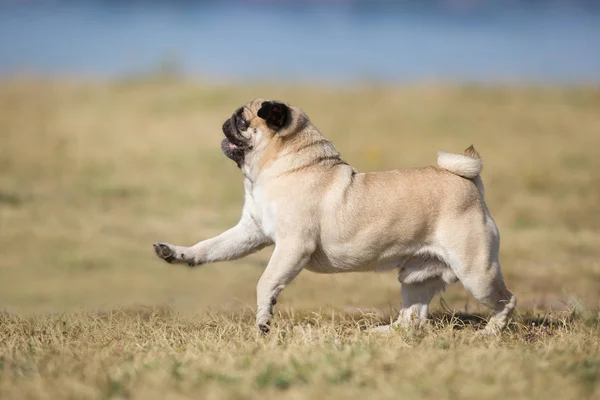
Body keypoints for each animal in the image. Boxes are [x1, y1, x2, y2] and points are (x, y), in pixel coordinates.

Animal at [154, 100, 516, 334]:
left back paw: (491, 332)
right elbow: (210, 247)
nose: (226, 121)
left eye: (242, 121)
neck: (284, 167)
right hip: (416, 277)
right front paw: (180, 253)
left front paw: (263, 321)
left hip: (476, 272)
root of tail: (468, 181)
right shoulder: (249, 232)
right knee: (412, 321)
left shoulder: (292, 246)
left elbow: (266, 282)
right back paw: (381, 333)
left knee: (506, 300)